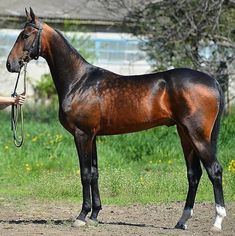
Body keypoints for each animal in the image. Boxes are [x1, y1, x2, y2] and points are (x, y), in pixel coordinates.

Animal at [6, 8, 226, 230]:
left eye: (25, 35)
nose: (10, 64)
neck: (79, 81)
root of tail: (213, 81)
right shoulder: (92, 136)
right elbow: (95, 173)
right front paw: (95, 215)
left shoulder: (82, 135)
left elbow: (85, 173)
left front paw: (82, 216)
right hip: (184, 134)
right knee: (194, 174)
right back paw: (182, 221)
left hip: (197, 135)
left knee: (214, 170)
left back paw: (217, 221)